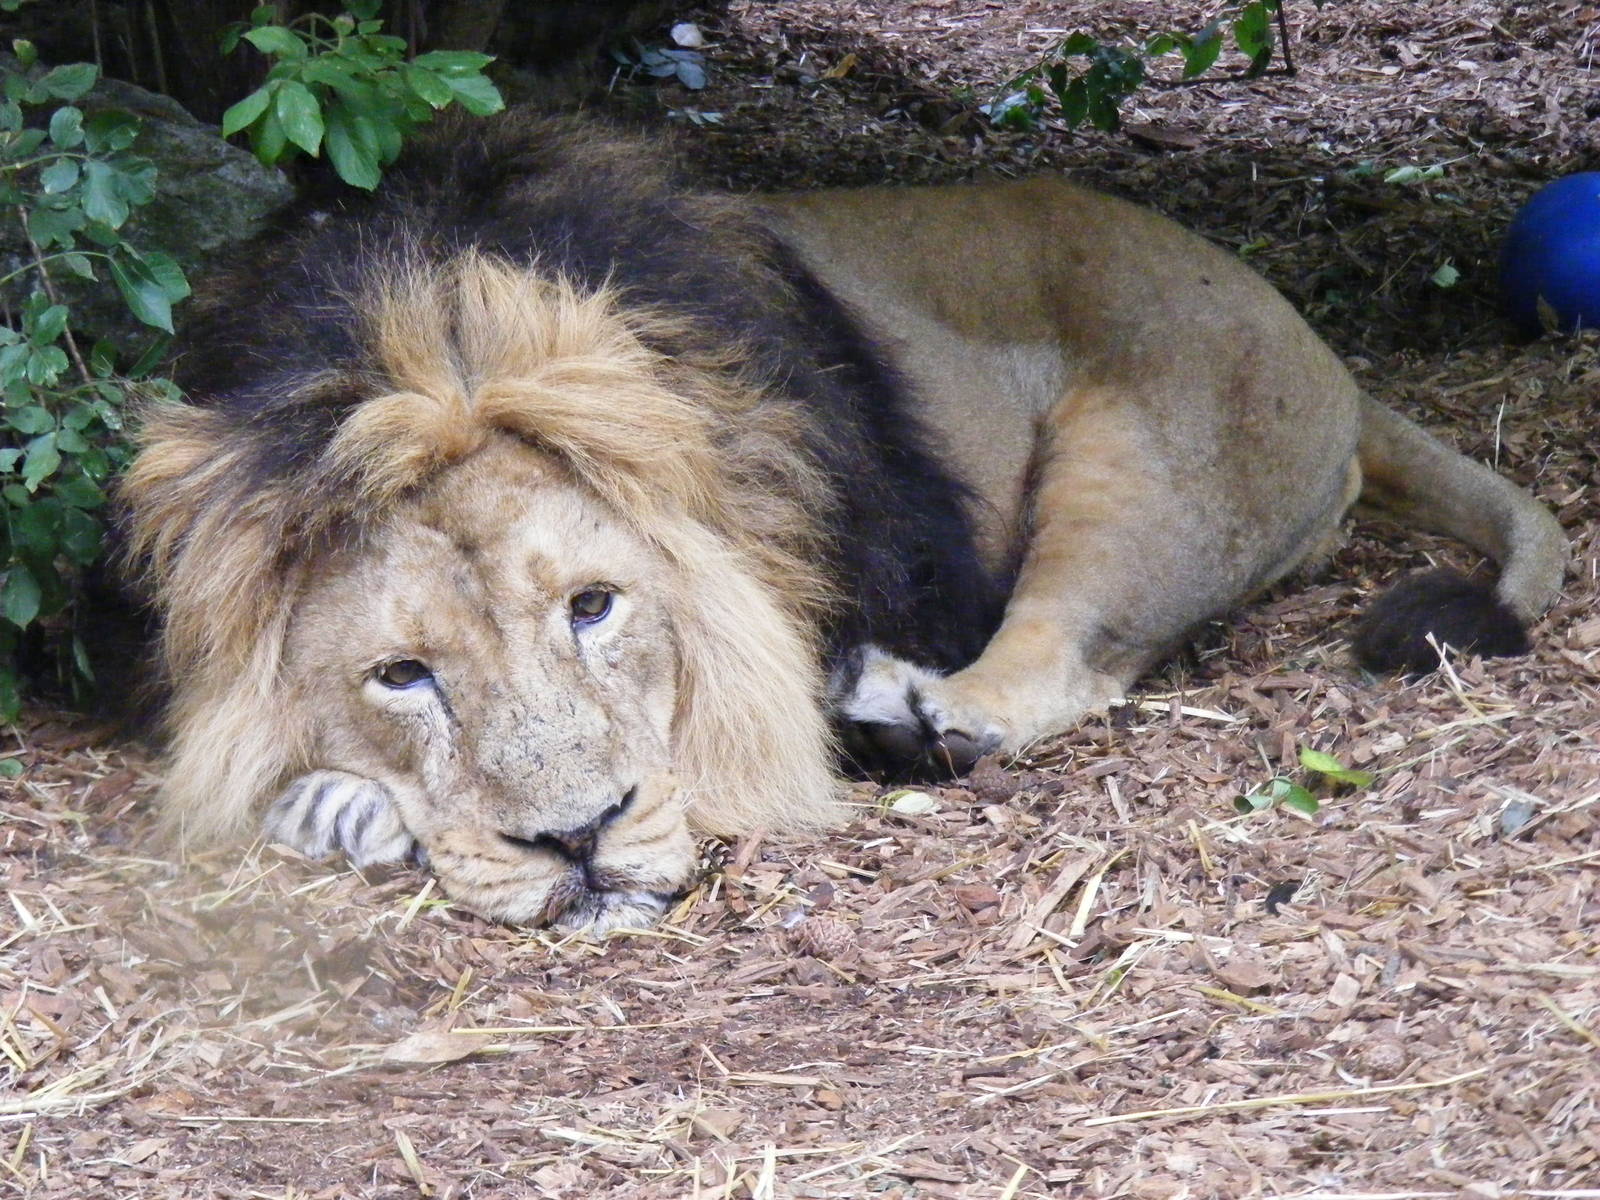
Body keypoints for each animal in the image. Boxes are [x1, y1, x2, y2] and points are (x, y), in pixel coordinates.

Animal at [119, 117, 1565, 933]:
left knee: (1066, 662)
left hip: (1146, 451)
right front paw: (338, 810)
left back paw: (904, 710)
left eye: (593, 606)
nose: (580, 842)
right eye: (402, 676)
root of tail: (1335, 362)